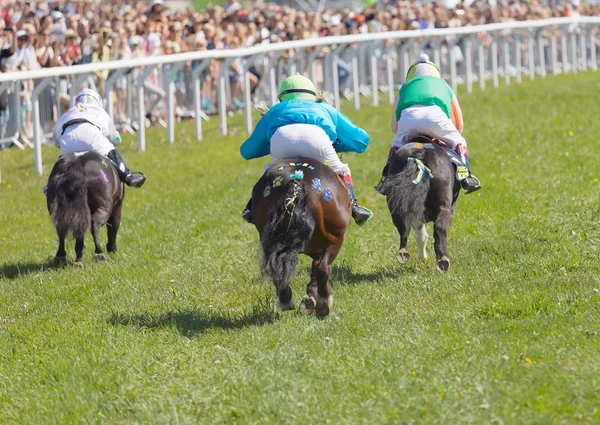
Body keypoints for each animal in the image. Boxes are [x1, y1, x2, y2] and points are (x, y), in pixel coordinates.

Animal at [247, 156, 352, 314]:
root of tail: (297, 182)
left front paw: (309, 299)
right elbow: (319, 268)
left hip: (270, 241)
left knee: (277, 270)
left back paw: (286, 300)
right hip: (335, 240)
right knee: (323, 269)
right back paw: (323, 303)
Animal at [382, 136, 462, 272]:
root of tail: (419, 154)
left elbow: (420, 235)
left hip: (398, 206)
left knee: (403, 227)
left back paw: (403, 254)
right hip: (444, 208)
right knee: (440, 228)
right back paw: (443, 260)